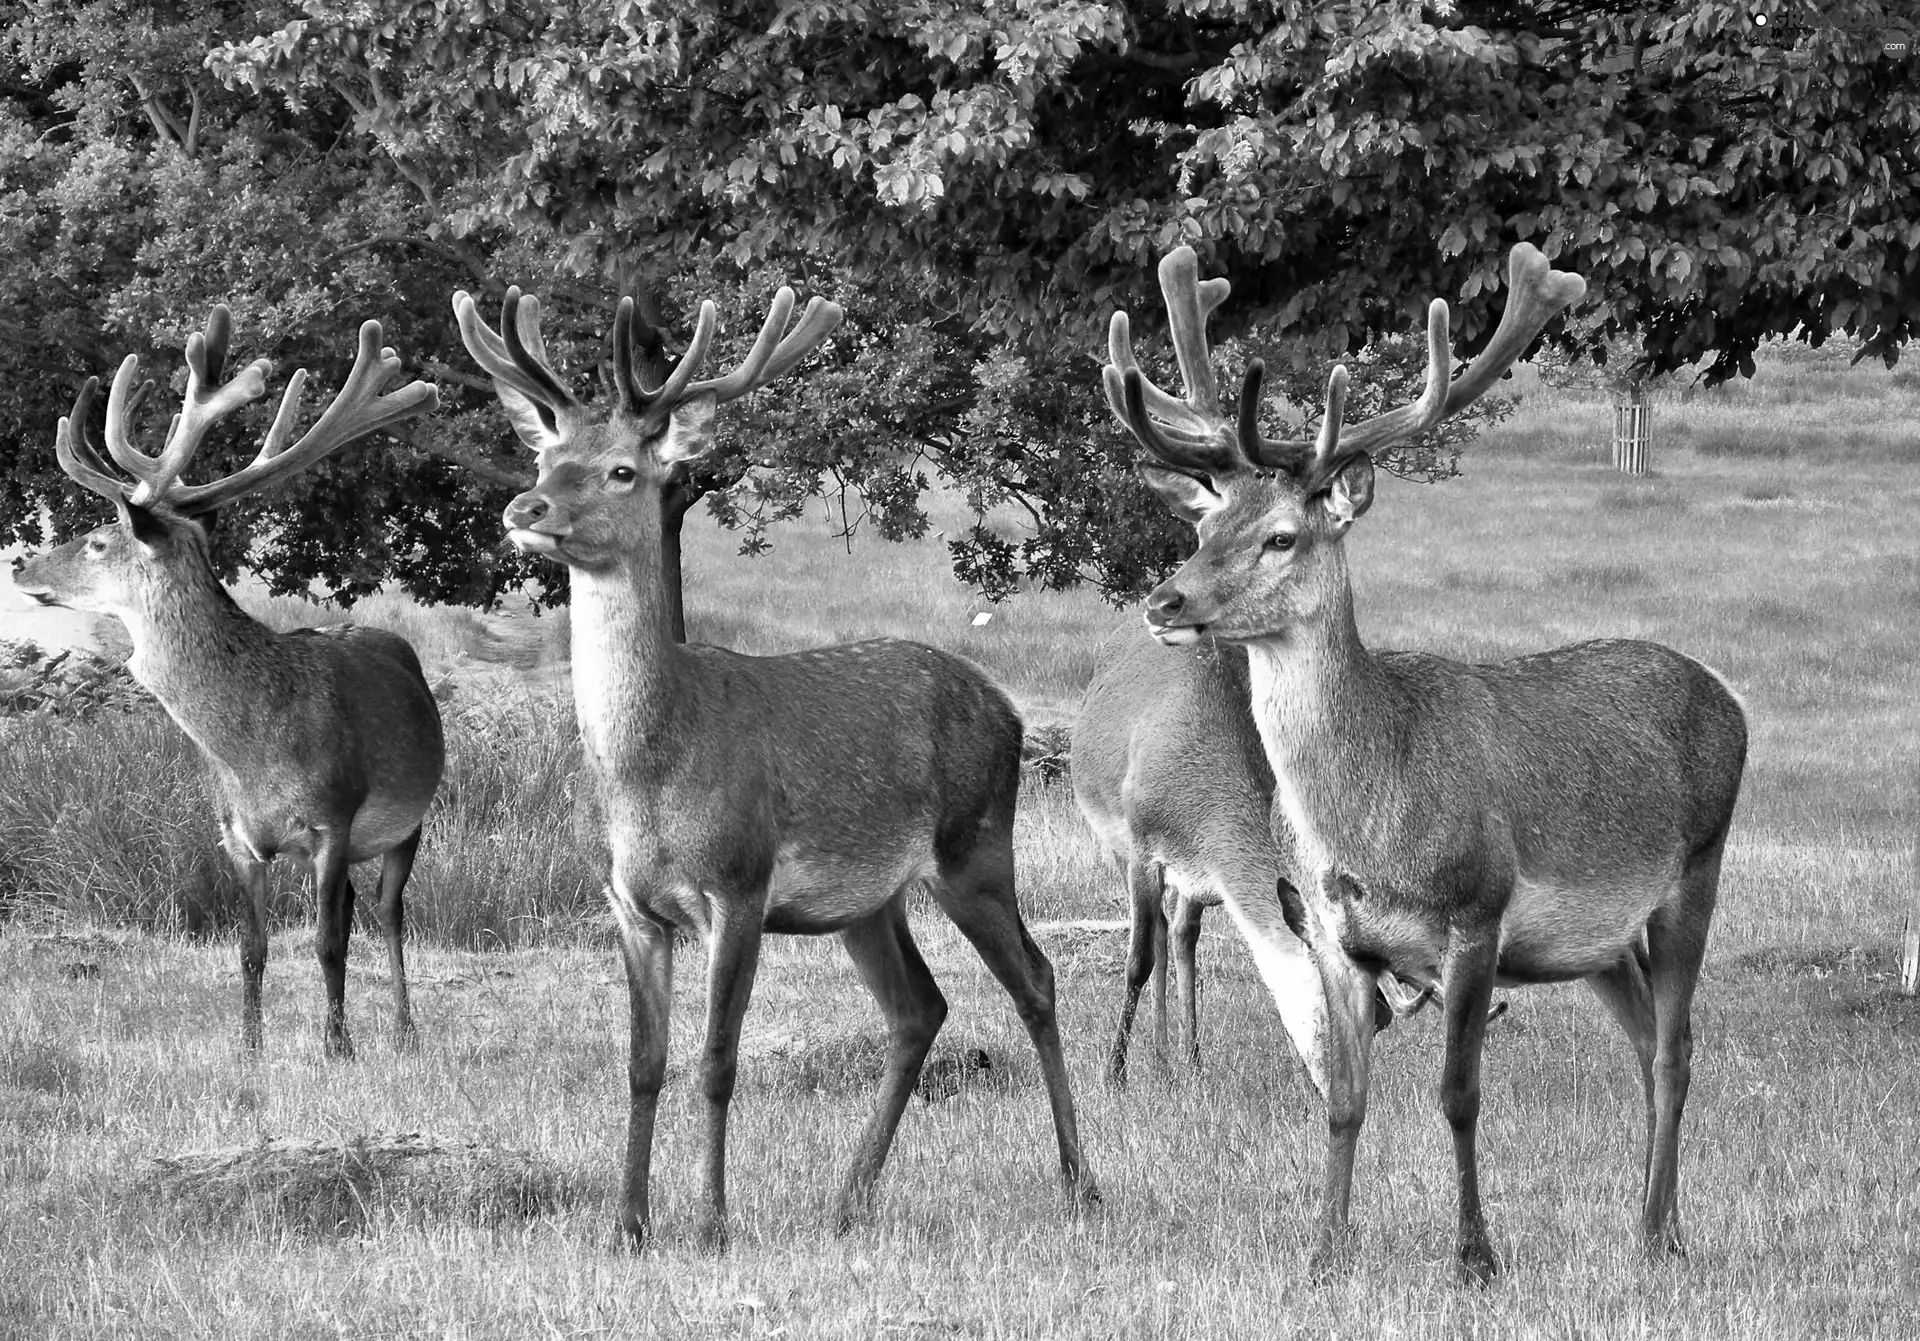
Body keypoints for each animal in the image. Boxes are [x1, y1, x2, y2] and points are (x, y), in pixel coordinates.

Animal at [15, 305, 441, 1052]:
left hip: (406, 820)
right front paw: (249, 1047)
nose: (22, 567)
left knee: (389, 912)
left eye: (98, 541)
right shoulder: (235, 835)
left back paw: (403, 1029)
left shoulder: (334, 817)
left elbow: (329, 943)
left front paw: (337, 1048)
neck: (253, 751)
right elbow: (252, 948)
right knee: (356, 907)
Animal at [451, 278, 1105, 1244]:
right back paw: (849, 1195)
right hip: (868, 900)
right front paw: (628, 1225)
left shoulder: (740, 883)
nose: (524, 510)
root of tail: (1011, 709)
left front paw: (712, 1222)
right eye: (544, 459)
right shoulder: (627, 902)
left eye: (623, 470)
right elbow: (643, 1061)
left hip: (977, 845)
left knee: (1037, 980)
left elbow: (717, 1059)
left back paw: (1078, 1182)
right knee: (919, 1007)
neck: (649, 771)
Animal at [1105, 245, 1751, 1283]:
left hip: (1699, 865)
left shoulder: (1477, 913)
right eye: (1204, 530)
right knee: (1648, 1037)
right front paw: (1324, 1251)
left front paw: (1475, 1256)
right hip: (1600, 942)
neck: (1374, 813)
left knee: (1675, 1048)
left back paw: (1658, 1233)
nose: (1165, 600)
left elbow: (1458, 1094)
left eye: (1282, 535)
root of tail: (1731, 701)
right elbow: (1343, 1098)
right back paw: (1657, 1223)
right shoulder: (1335, 933)